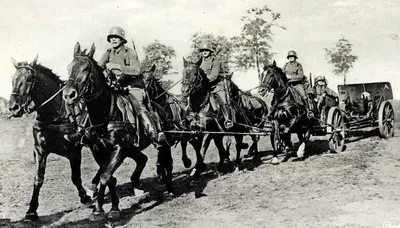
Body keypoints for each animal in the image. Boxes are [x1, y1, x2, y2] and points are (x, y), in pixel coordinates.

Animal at [8, 55, 91, 221]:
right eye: (13, 79)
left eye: (29, 79)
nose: (14, 108)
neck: (56, 114)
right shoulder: (40, 151)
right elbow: (38, 179)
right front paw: (31, 210)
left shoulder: (74, 152)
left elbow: (75, 177)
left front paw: (84, 196)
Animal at [63, 42, 173, 219]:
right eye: (69, 67)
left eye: (86, 68)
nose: (68, 95)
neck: (106, 113)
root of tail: (160, 108)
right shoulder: (98, 150)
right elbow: (109, 178)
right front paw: (103, 208)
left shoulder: (119, 149)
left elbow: (105, 176)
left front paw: (108, 209)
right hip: (132, 149)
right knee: (142, 159)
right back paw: (137, 182)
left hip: (163, 142)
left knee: (167, 162)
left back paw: (168, 190)